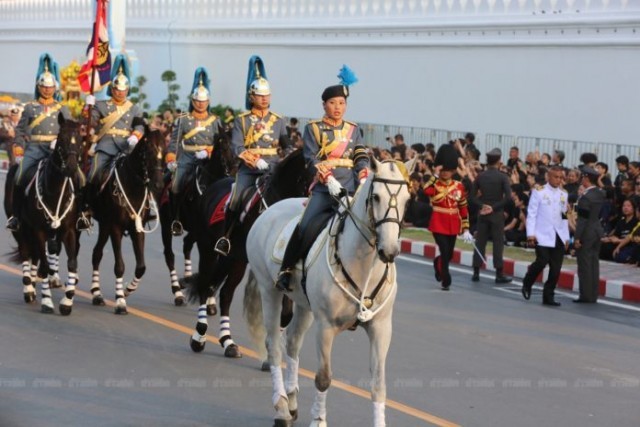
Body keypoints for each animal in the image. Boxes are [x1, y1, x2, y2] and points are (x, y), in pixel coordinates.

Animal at [89, 126, 166, 314]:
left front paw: (127, 290)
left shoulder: (137, 229)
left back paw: (97, 294)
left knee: (96, 253)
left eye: (165, 151)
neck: (133, 188)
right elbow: (119, 265)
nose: (159, 185)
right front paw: (120, 301)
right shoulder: (116, 228)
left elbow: (141, 267)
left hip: (104, 225)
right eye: (149, 151)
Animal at [158, 131, 235, 308]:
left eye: (234, 147)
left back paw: (186, 279)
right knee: (170, 255)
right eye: (223, 148)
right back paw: (177, 292)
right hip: (166, 225)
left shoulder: (219, 237)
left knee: (186, 245)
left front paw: (210, 299)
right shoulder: (201, 230)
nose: (233, 171)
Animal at [185, 149, 312, 360]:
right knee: (206, 285)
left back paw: (228, 342)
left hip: (236, 259)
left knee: (225, 293)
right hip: (209, 248)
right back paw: (199, 335)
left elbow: (285, 314)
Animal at [242, 158, 412, 427]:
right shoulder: (326, 327)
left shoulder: (381, 328)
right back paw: (281, 407)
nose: (390, 251)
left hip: (304, 305)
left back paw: (291, 401)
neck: (364, 264)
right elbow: (323, 378)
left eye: (407, 199)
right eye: (375, 197)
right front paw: (319, 420)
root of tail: (269, 211)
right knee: (273, 345)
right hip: (269, 290)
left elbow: (378, 385)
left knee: (292, 342)